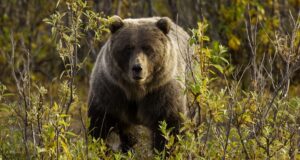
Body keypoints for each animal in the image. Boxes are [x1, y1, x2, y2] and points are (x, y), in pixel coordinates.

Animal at [88, 15, 191, 152]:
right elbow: (100, 125)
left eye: (148, 48)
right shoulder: (110, 90)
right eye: (128, 48)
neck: (136, 90)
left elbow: (170, 127)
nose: (137, 68)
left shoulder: (162, 91)